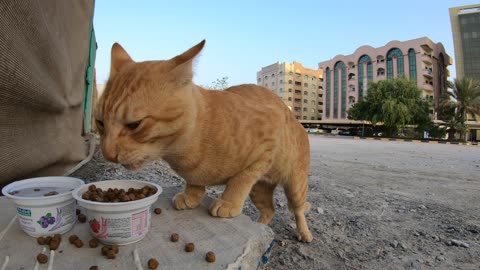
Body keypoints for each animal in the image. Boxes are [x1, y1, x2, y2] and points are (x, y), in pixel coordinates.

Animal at [95, 40, 314, 243]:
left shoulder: (267, 142)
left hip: (295, 184)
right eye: (100, 122)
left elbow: (240, 180)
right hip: (259, 190)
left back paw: (304, 233)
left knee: (297, 209)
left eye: (134, 124)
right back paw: (261, 227)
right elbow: (195, 181)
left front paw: (228, 202)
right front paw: (191, 195)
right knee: (269, 210)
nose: (107, 154)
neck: (183, 152)